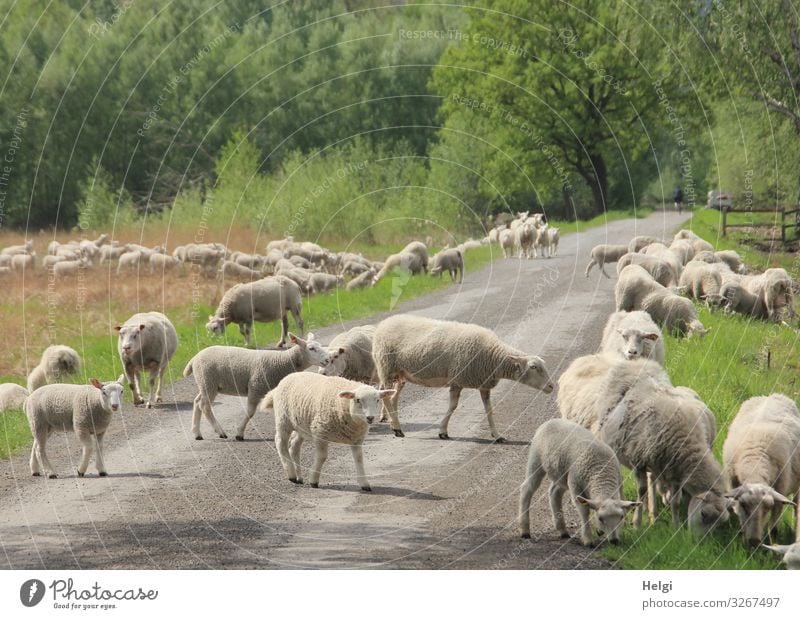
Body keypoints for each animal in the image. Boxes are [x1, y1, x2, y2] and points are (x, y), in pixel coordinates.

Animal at [184, 334, 328, 440]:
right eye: (311, 348)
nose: (327, 360)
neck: (282, 361)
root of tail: (194, 358)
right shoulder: (255, 387)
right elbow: (250, 412)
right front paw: (239, 434)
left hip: (206, 384)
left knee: (197, 401)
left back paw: (197, 433)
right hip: (208, 381)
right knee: (204, 405)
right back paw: (220, 432)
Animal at [260, 372, 396, 494]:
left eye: (377, 400)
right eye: (358, 400)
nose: (370, 418)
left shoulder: (356, 439)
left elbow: (359, 459)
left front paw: (364, 483)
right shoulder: (320, 432)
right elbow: (322, 457)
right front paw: (314, 480)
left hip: (302, 425)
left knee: (294, 445)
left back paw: (299, 476)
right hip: (283, 419)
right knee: (280, 442)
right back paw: (291, 474)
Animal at [372, 318, 552, 444]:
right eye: (533, 367)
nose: (551, 386)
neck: (493, 357)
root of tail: (383, 324)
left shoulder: (483, 384)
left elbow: (489, 410)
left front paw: (497, 435)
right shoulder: (458, 380)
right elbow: (453, 406)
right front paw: (443, 431)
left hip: (400, 373)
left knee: (393, 397)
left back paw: (395, 425)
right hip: (387, 366)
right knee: (386, 396)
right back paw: (397, 428)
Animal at [720, 394, 796, 544]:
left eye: (768, 508)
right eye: (744, 505)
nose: (754, 542)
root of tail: (771, 395)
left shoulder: (780, 490)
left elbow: (774, 529)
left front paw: (774, 545)